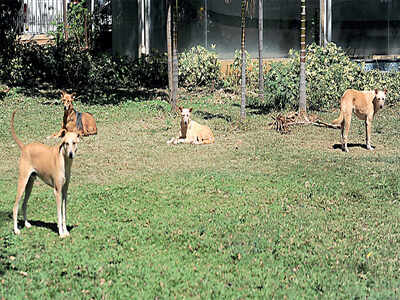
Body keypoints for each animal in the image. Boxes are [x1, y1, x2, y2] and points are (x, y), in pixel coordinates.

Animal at [11, 109, 80, 238]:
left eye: (74, 143)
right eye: (66, 143)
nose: (71, 154)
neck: (64, 161)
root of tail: (24, 147)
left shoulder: (64, 191)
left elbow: (64, 213)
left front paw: (66, 231)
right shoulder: (57, 191)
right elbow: (59, 214)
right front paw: (61, 233)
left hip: (30, 185)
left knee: (24, 204)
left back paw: (27, 224)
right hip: (22, 183)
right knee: (15, 206)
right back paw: (16, 230)